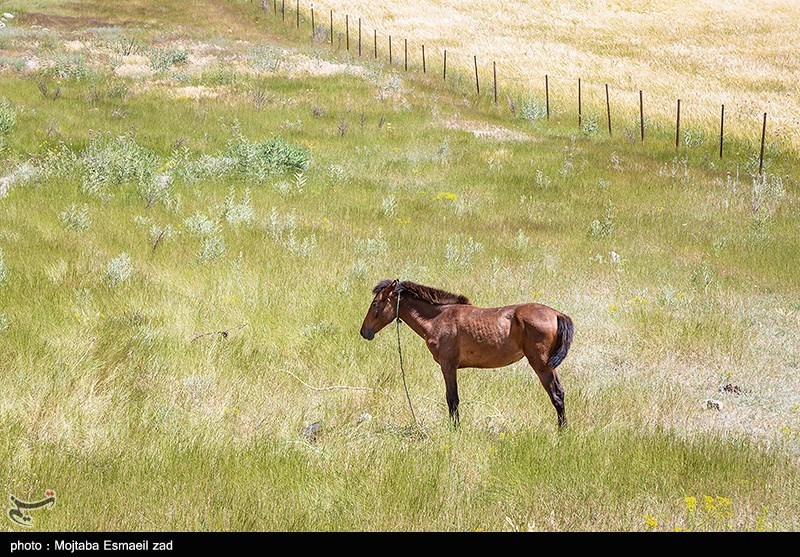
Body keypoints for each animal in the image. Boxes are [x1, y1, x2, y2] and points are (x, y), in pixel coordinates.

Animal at [360, 280, 572, 428]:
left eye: (375, 304)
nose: (364, 332)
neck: (438, 318)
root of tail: (556, 314)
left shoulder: (448, 365)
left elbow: (452, 399)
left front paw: (455, 429)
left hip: (542, 365)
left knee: (556, 395)